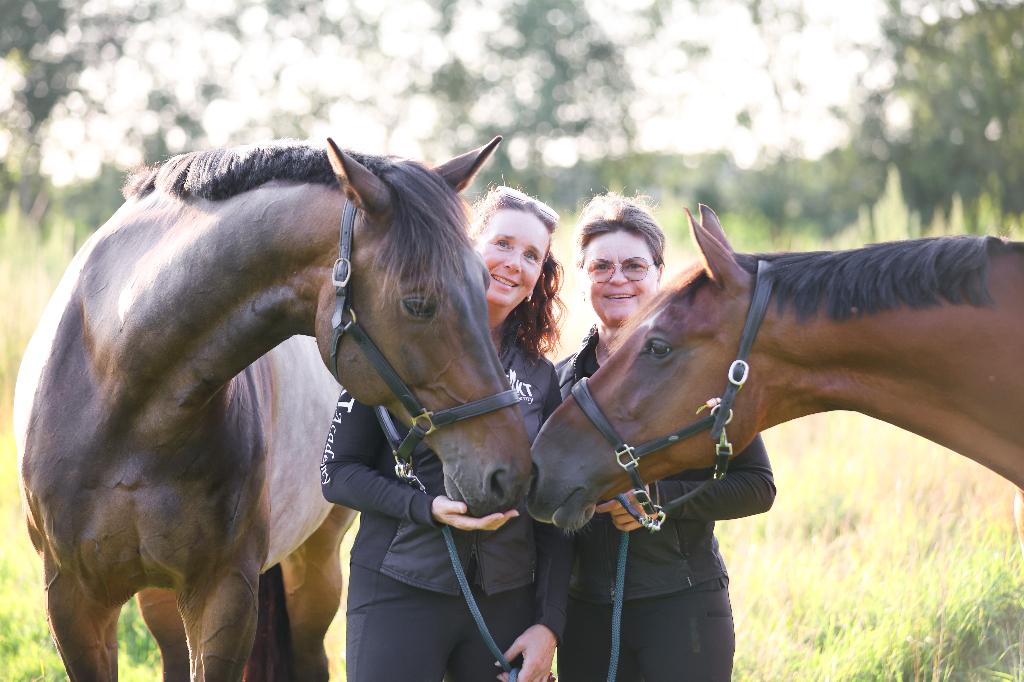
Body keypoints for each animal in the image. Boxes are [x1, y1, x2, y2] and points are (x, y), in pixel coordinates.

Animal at [14, 137, 534, 680]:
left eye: (484, 281)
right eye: (417, 304)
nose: (510, 472)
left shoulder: (225, 594)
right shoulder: (73, 603)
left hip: (314, 568)